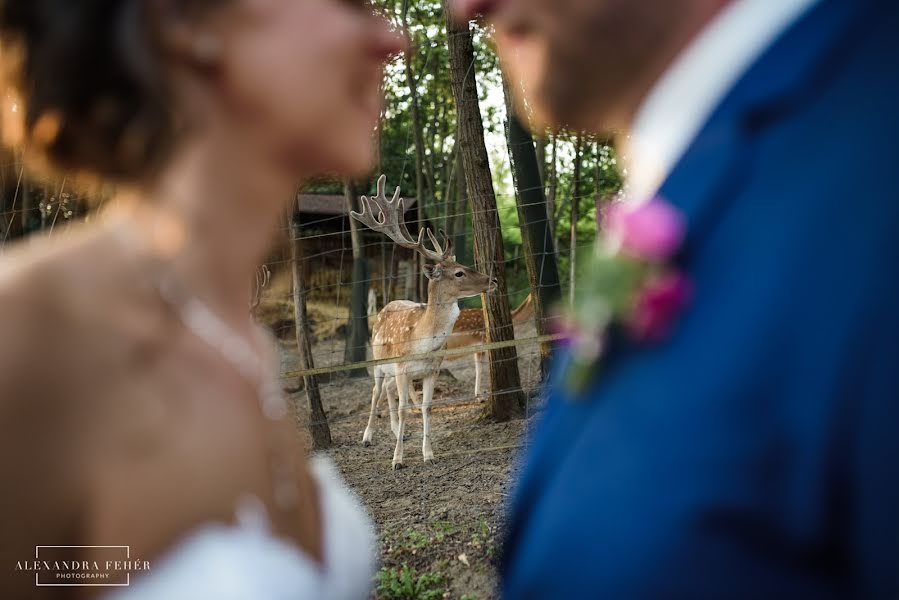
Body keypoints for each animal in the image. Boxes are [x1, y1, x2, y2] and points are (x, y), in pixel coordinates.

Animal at [352, 176, 496, 472]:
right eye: (459, 273)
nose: (493, 280)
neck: (422, 343)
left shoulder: (432, 369)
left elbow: (427, 407)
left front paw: (428, 454)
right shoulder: (401, 367)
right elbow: (405, 407)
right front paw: (397, 460)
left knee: (389, 391)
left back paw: (396, 431)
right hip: (379, 361)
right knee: (376, 391)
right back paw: (368, 436)